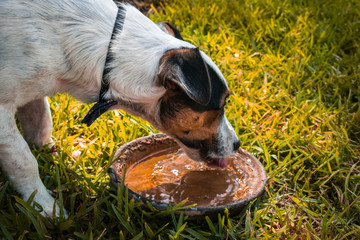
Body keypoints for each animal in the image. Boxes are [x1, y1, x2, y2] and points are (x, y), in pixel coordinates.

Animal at [0, 0, 242, 217]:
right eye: (222, 104)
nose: (238, 144)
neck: (109, 53)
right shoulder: (3, 111)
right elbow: (24, 160)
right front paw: (44, 205)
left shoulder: (33, 91)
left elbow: (41, 124)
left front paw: (50, 154)